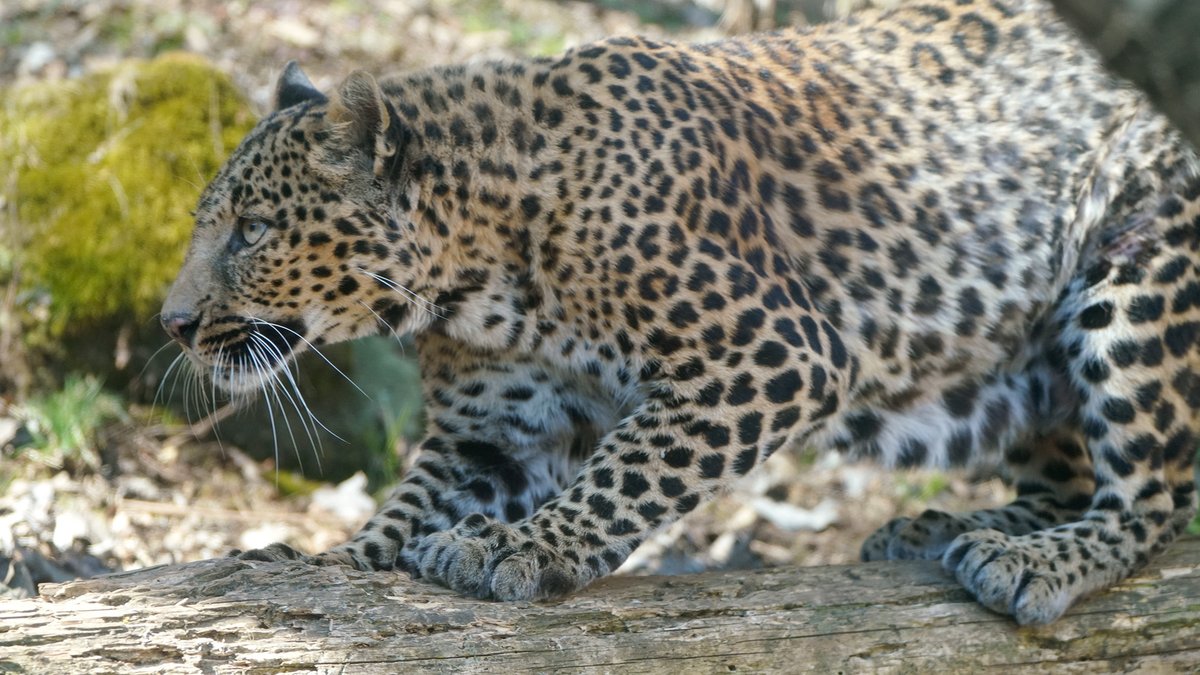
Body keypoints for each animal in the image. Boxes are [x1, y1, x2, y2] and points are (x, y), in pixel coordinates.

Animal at [161, 0, 1199, 625]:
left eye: (252, 230)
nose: (173, 323)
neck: (474, 281)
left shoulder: (772, 354)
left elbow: (632, 470)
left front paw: (526, 546)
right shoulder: (495, 433)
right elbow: (409, 509)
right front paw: (334, 562)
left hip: (1139, 267)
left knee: (1156, 495)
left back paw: (1038, 562)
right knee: (1067, 467)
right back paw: (951, 531)